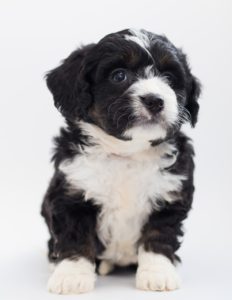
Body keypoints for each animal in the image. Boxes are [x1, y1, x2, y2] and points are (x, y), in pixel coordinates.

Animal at [40, 28, 200, 292]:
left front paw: (157, 273)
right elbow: (75, 238)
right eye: (119, 76)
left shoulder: (169, 195)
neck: (128, 153)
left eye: (168, 77)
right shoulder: (72, 194)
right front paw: (71, 275)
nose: (155, 100)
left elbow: (159, 235)